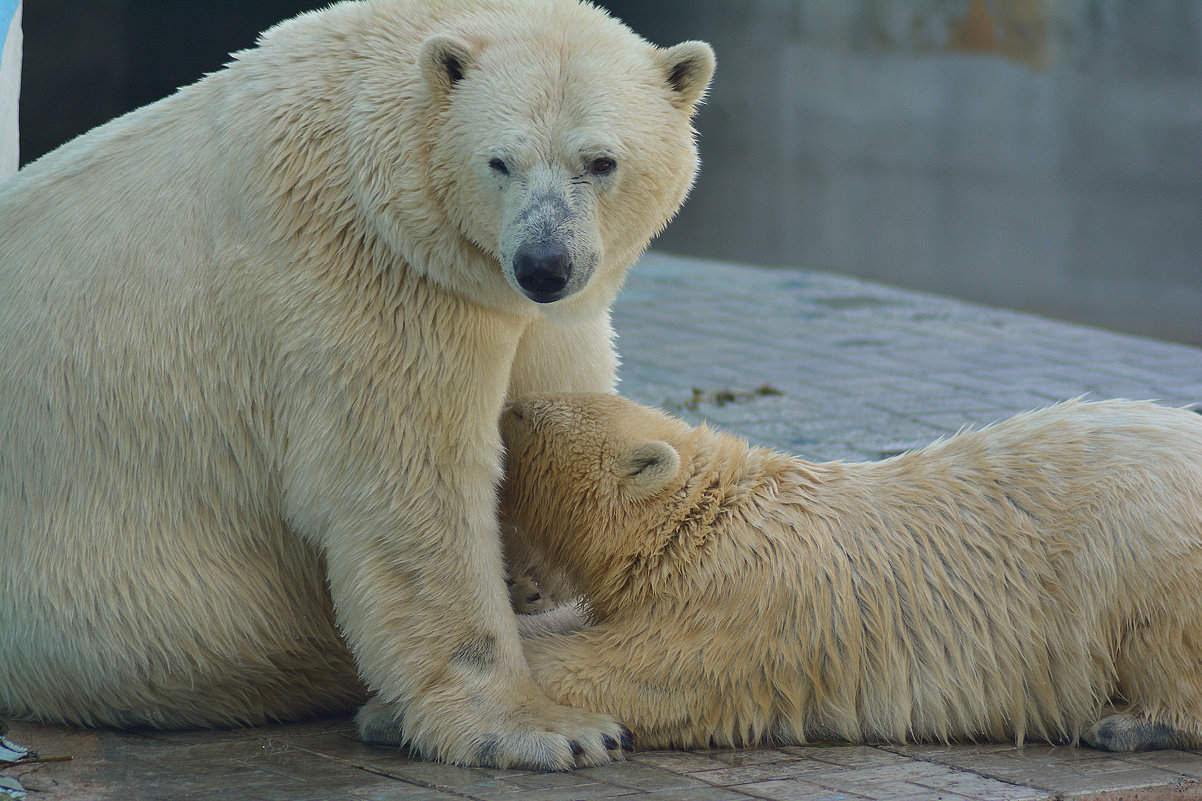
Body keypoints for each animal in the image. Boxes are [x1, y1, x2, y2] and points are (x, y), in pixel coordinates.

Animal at [0, 0, 711, 769]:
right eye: (500, 161)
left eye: (601, 161)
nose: (544, 263)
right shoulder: (370, 277)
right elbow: (411, 487)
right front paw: (550, 729)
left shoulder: (520, 301)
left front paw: (535, 571)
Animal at [502, 392, 1202, 750]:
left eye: (522, 416)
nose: (508, 401)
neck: (704, 517)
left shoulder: (744, 601)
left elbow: (645, 673)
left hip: (1144, 542)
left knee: (1158, 633)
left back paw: (1129, 725)